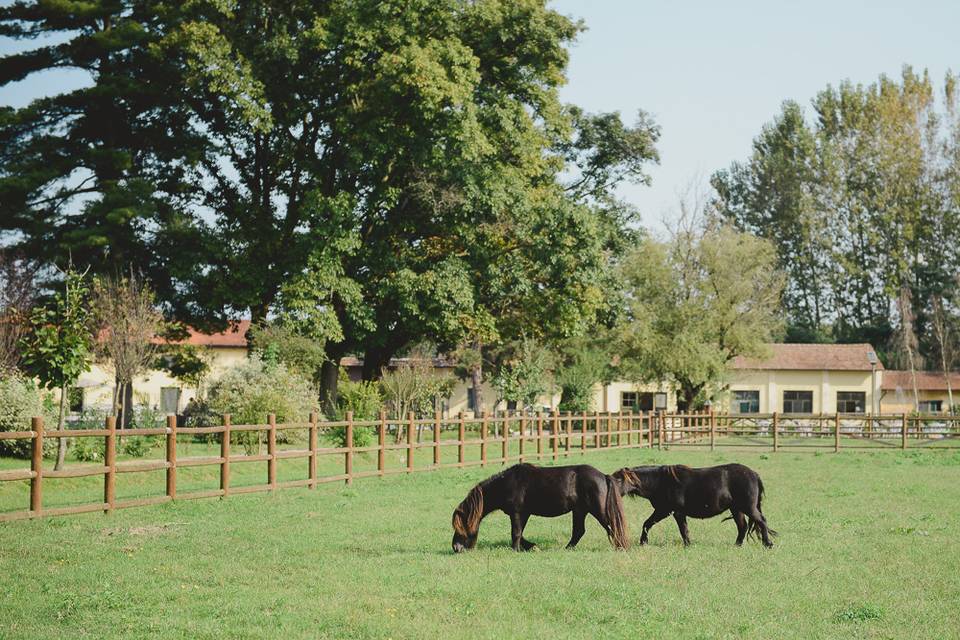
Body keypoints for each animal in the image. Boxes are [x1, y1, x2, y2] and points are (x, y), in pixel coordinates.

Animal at [452, 462, 632, 552]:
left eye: (461, 526)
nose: (456, 548)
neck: (507, 483)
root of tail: (603, 476)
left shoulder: (517, 513)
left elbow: (515, 533)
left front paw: (515, 550)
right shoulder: (523, 514)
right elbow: (521, 534)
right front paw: (531, 546)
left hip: (598, 511)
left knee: (613, 527)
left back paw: (621, 547)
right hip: (580, 511)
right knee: (579, 532)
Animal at [616, 462, 780, 548]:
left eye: (618, 480)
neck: (661, 481)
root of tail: (753, 474)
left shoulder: (670, 511)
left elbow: (681, 529)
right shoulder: (666, 511)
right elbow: (650, 524)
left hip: (748, 507)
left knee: (761, 521)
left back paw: (768, 544)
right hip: (736, 509)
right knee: (743, 526)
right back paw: (737, 545)